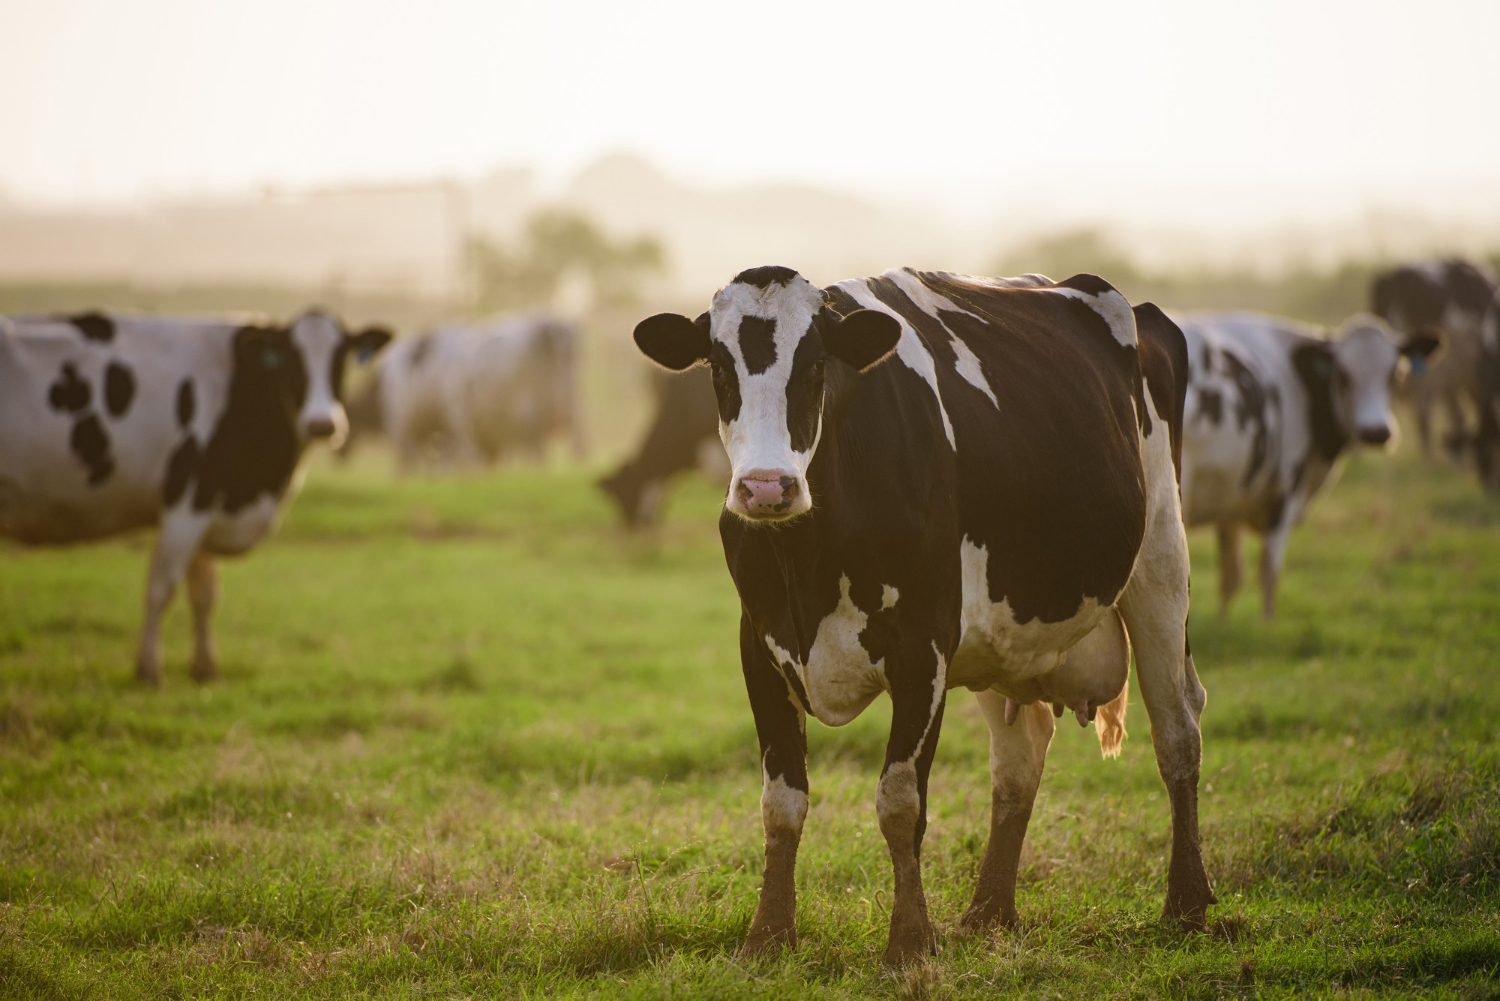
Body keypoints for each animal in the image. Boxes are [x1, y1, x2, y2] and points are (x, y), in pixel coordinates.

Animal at [0, 309, 391, 684]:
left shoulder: (207, 511)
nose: (322, 424)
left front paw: (205, 669)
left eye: (341, 357)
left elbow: (204, 594)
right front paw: (149, 670)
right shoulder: (186, 505)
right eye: (292, 359)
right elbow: (161, 589)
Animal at [632, 265, 1212, 965]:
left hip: (1161, 563)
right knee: (1019, 761)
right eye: (718, 366)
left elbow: (901, 801)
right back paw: (989, 912)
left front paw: (909, 940)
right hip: (1001, 637)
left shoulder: (923, 649)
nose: (766, 487)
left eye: (817, 364)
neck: (808, 560)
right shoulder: (760, 647)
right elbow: (781, 803)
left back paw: (1188, 902)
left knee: (1177, 732)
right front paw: (768, 937)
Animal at [1176, 311, 1440, 619]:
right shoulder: (1285, 492)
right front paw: (1267, 625)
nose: (1375, 431)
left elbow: (1231, 576)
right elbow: (1269, 574)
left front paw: (1223, 623)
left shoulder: (1229, 500)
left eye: (1394, 373)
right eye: (1343, 375)